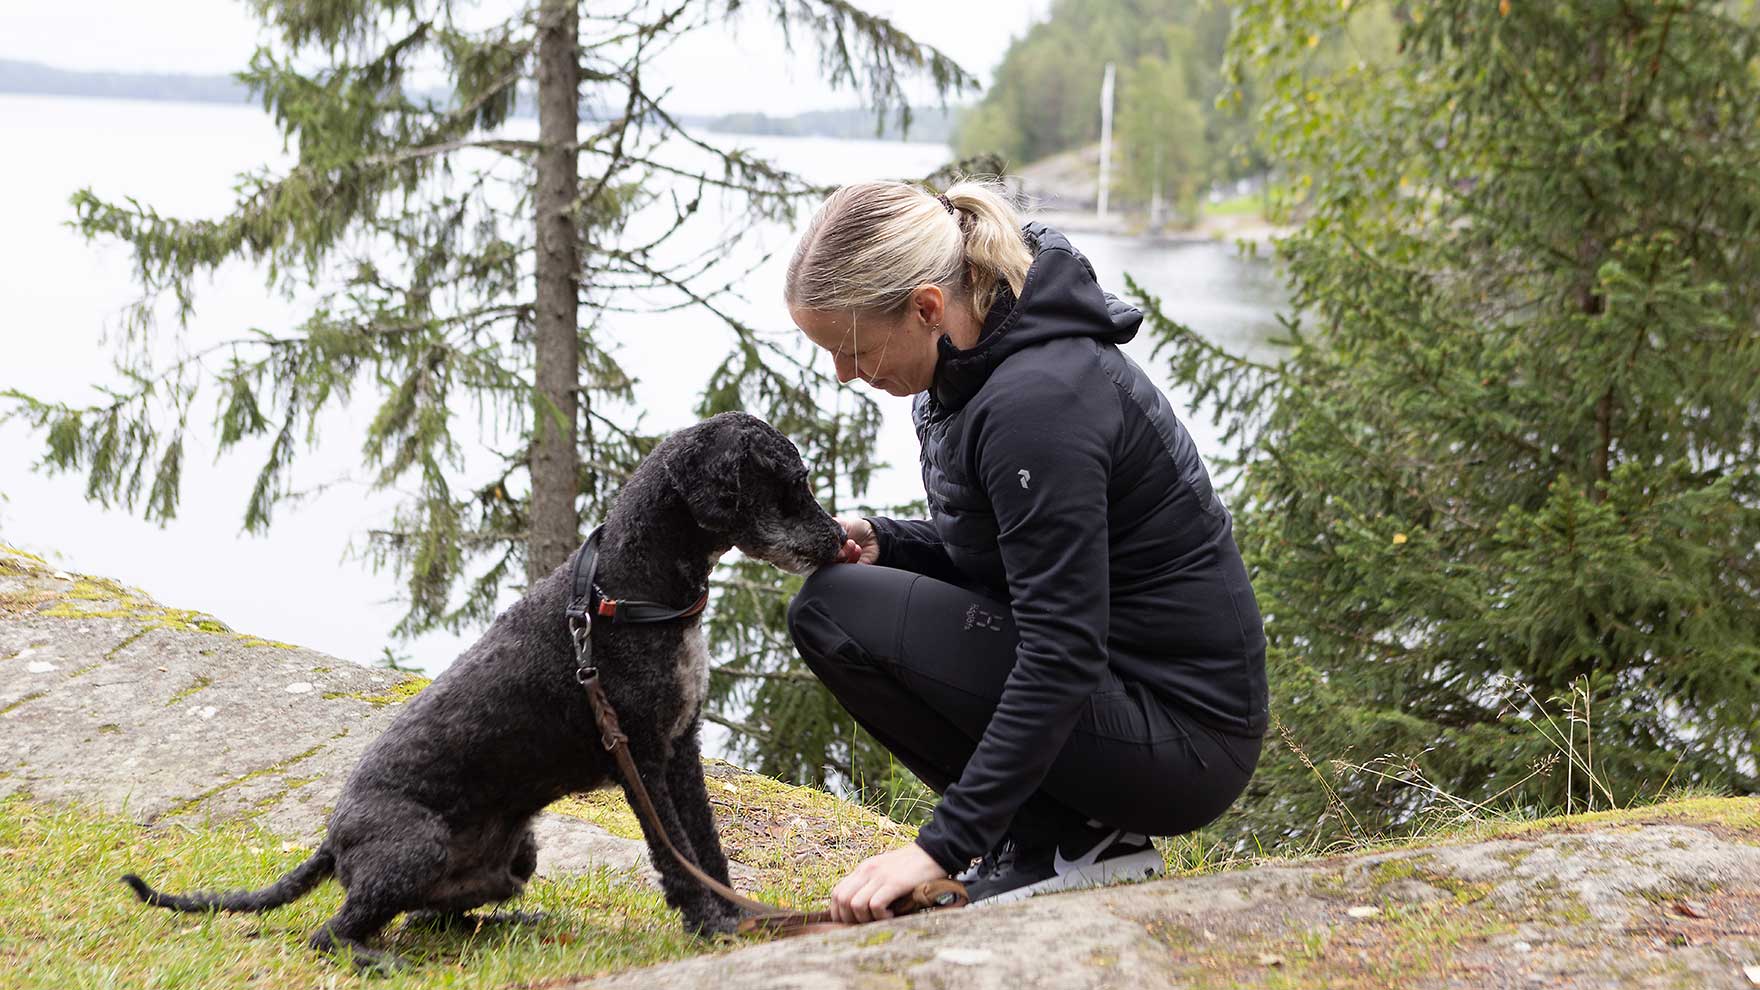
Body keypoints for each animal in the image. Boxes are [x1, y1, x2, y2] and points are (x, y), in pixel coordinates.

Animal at [122, 410, 844, 972]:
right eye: (790, 484)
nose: (839, 538)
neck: (628, 585)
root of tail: (332, 839)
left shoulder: (681, 747)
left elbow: (706, 850)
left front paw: (739, 917)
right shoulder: (641, 755)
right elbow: (676, 853)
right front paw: (711, 926)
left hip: (516, 856)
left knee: (432, 920)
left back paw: (512, 924)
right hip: (414, 849)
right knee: (330, 933)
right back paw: (376, 959)